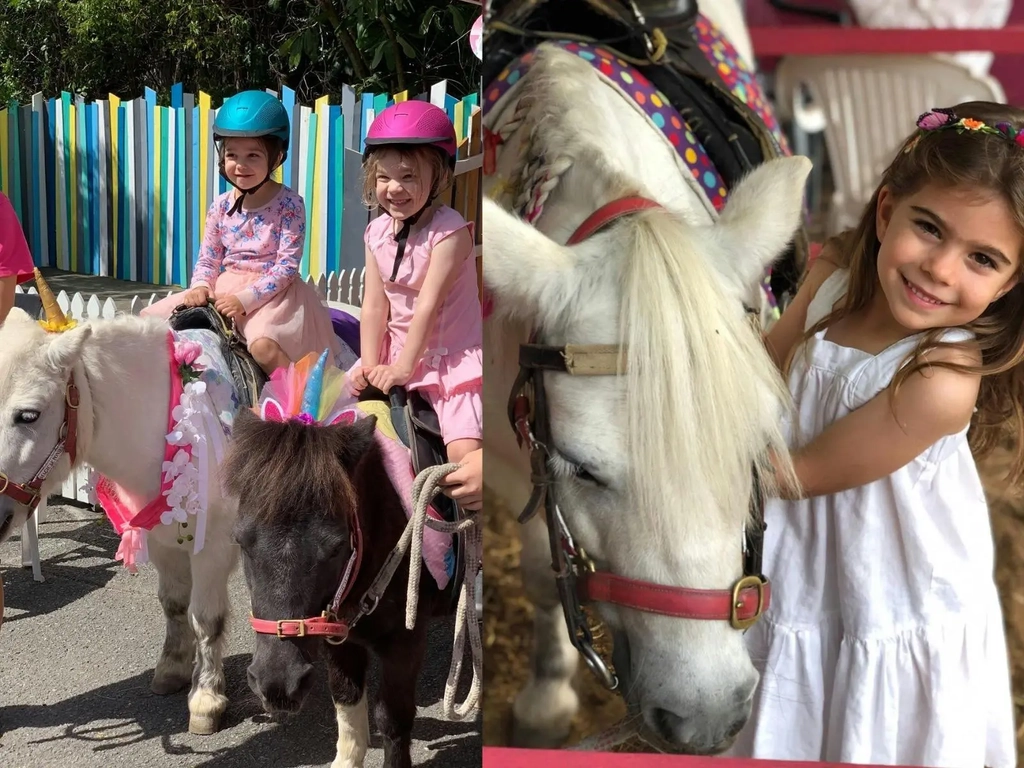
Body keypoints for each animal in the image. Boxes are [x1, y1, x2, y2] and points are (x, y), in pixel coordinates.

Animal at [0, 305, 237, 733]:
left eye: (28, 415)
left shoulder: (212, 548)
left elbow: (206, 618)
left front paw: (206, 699)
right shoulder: (162, 541)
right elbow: (174, 604)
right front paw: (172, 670)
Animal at [226, 409, 458, 768]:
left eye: (336, 547)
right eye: (241, 540)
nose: (278, 685)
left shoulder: (406, 641)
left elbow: (392, 717)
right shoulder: (335, 634)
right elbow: (346, 700)